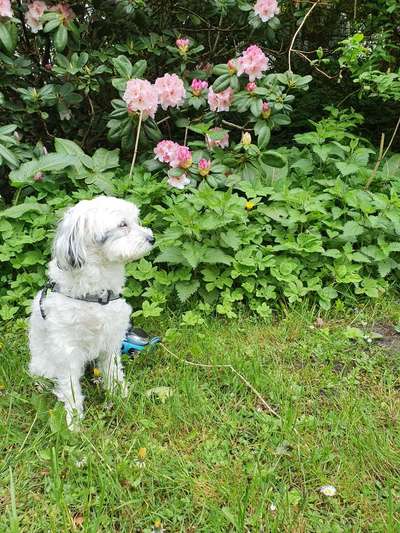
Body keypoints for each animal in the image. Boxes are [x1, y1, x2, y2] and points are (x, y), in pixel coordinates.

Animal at [28, 195, 154, 428]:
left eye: (135, 220)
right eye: (122, 224)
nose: (152, 238)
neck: (96, 295)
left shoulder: (112, 340)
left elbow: (113, 372)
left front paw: (119, 396)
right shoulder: (67, 349)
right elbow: (70, 389)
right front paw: (74, 421)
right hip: (42, 364)